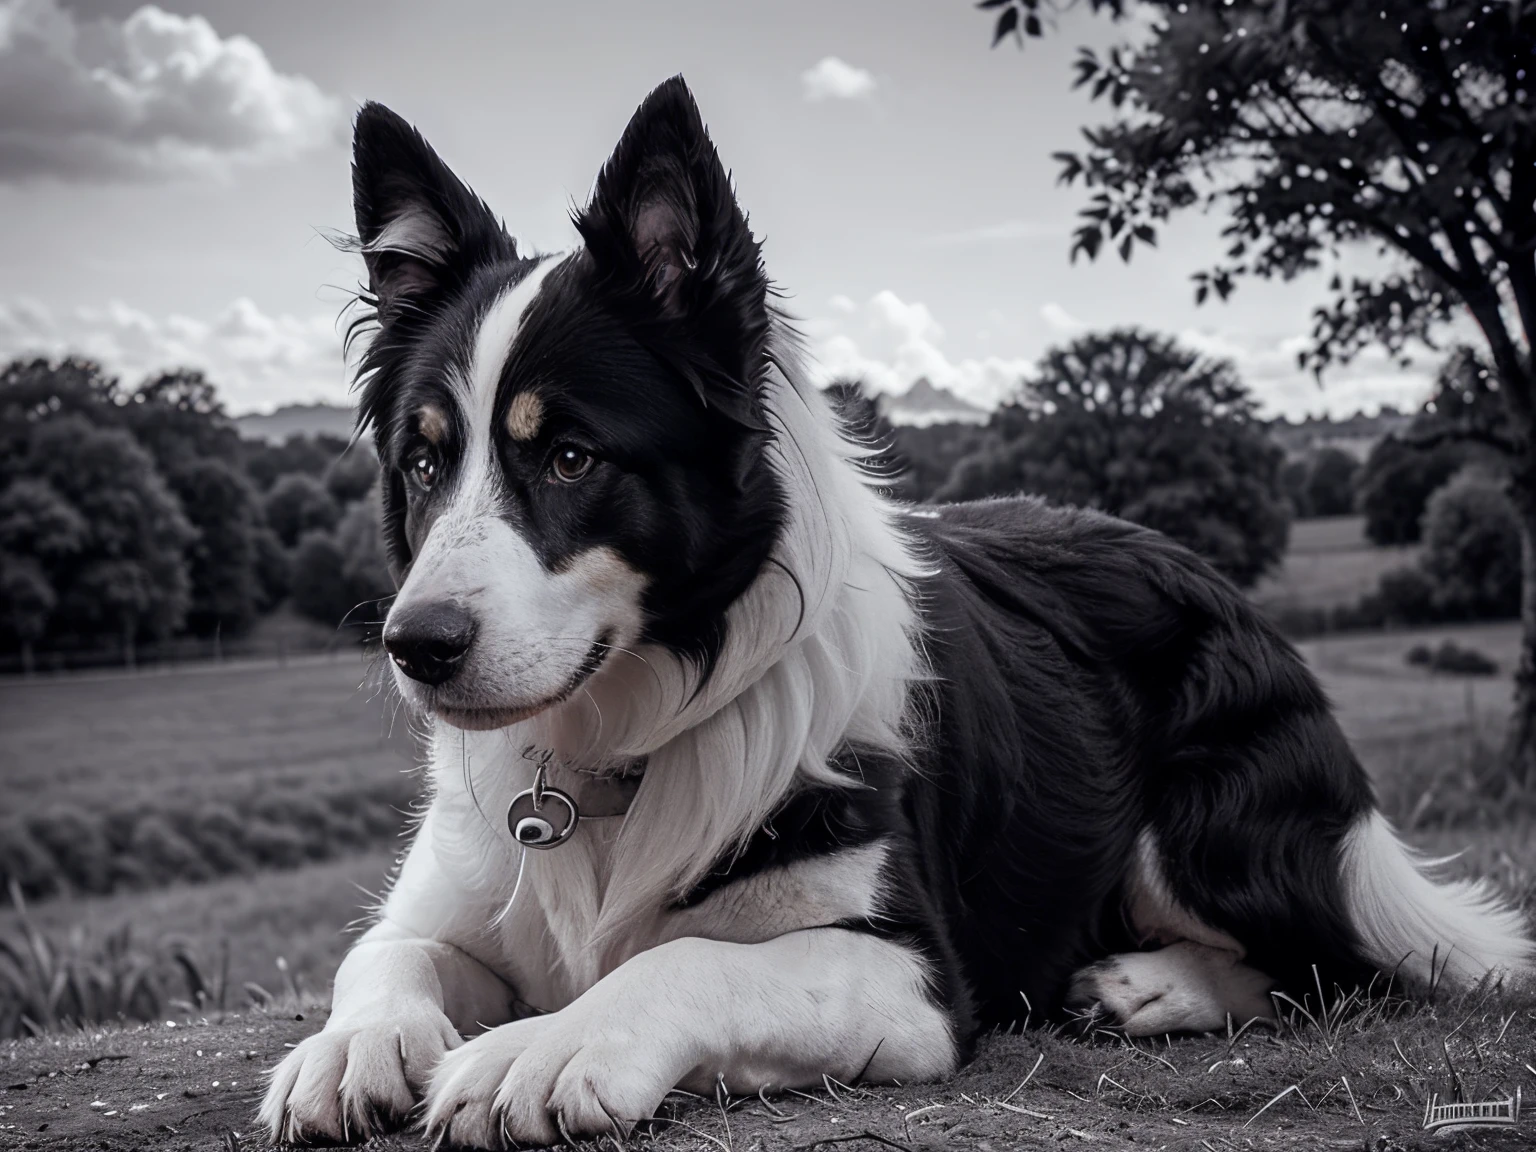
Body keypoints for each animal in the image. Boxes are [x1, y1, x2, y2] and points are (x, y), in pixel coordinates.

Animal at [258, 79, 1529, 1148]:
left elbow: (684, 962)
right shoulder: (450, 902)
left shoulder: (911, 976)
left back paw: (1153, 983)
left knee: (1334, 969)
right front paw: (351, 1048)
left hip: (1207, 829)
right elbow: (381, 959)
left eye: (571, 456)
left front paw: (545, 1048)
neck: (620, 749)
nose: (416, 649)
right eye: (426, 464)